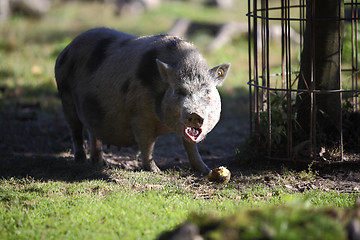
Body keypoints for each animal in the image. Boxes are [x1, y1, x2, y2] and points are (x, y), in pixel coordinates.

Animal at [55, 27, 231, 174]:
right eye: (178, 91)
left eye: (207, 92)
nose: (194, 114)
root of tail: (66, 49)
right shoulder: (138, 114)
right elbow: (147, 143)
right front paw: (156, 171)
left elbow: (190, 145)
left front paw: (206, 170)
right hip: (65, 96)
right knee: (76, 130)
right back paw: (80, 161)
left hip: (91, 106)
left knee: (92, 132)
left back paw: (101, 163)